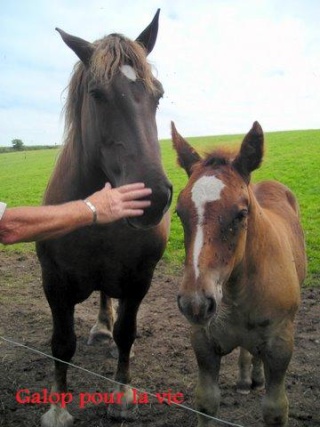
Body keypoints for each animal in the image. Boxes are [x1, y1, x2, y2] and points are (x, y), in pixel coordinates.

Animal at [36, 10, 171, 427]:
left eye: (158, 94)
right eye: (97, 94)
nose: (153, 198)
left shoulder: (140, 278)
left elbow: (127, 333)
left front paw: (122, 393)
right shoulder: (54, 282)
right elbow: (62, 344)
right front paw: (58, 406)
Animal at [171, 121, 306, 427]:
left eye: (241, 214)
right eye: (179, 213)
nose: (195, 303)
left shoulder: (281, 345)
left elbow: (275, 410)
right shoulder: (204, 342)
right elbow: (206, 403)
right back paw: (246, 379)